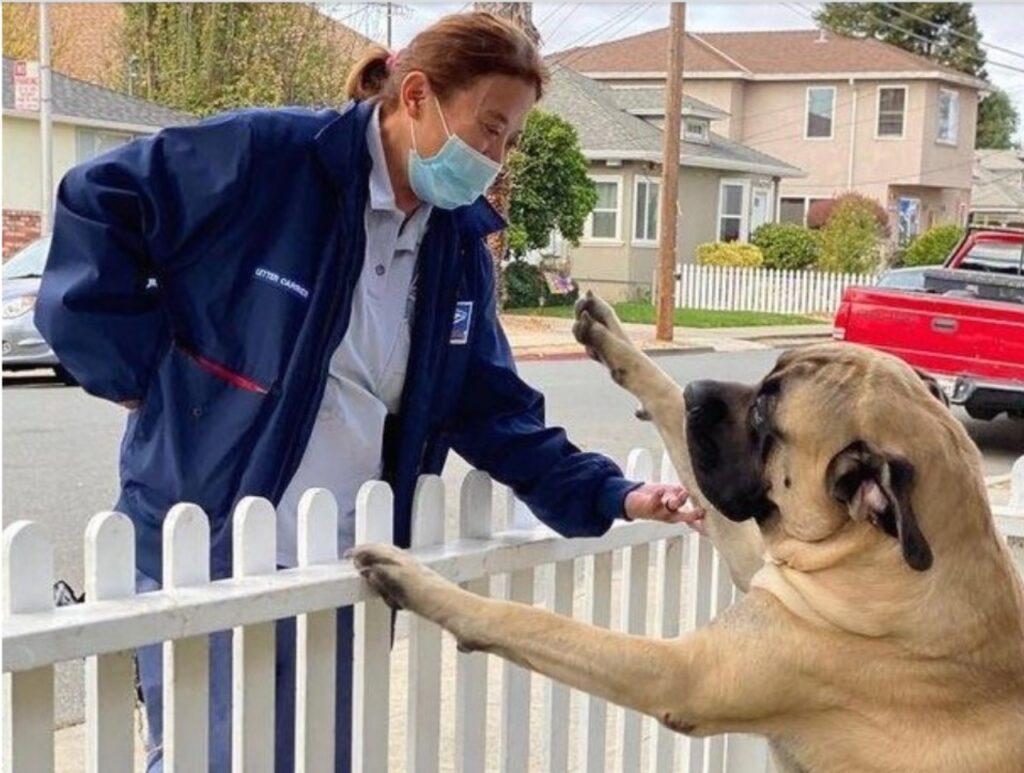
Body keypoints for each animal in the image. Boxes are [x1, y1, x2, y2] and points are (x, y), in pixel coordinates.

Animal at [352, 292, 1024, 769]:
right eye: (767, 375)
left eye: (765, 413)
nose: (701, 387)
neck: (884, 559)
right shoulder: (765, 570)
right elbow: (668, 405)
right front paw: (617, 342)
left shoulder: (685, 673)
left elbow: (537, 621)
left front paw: (415, 580)